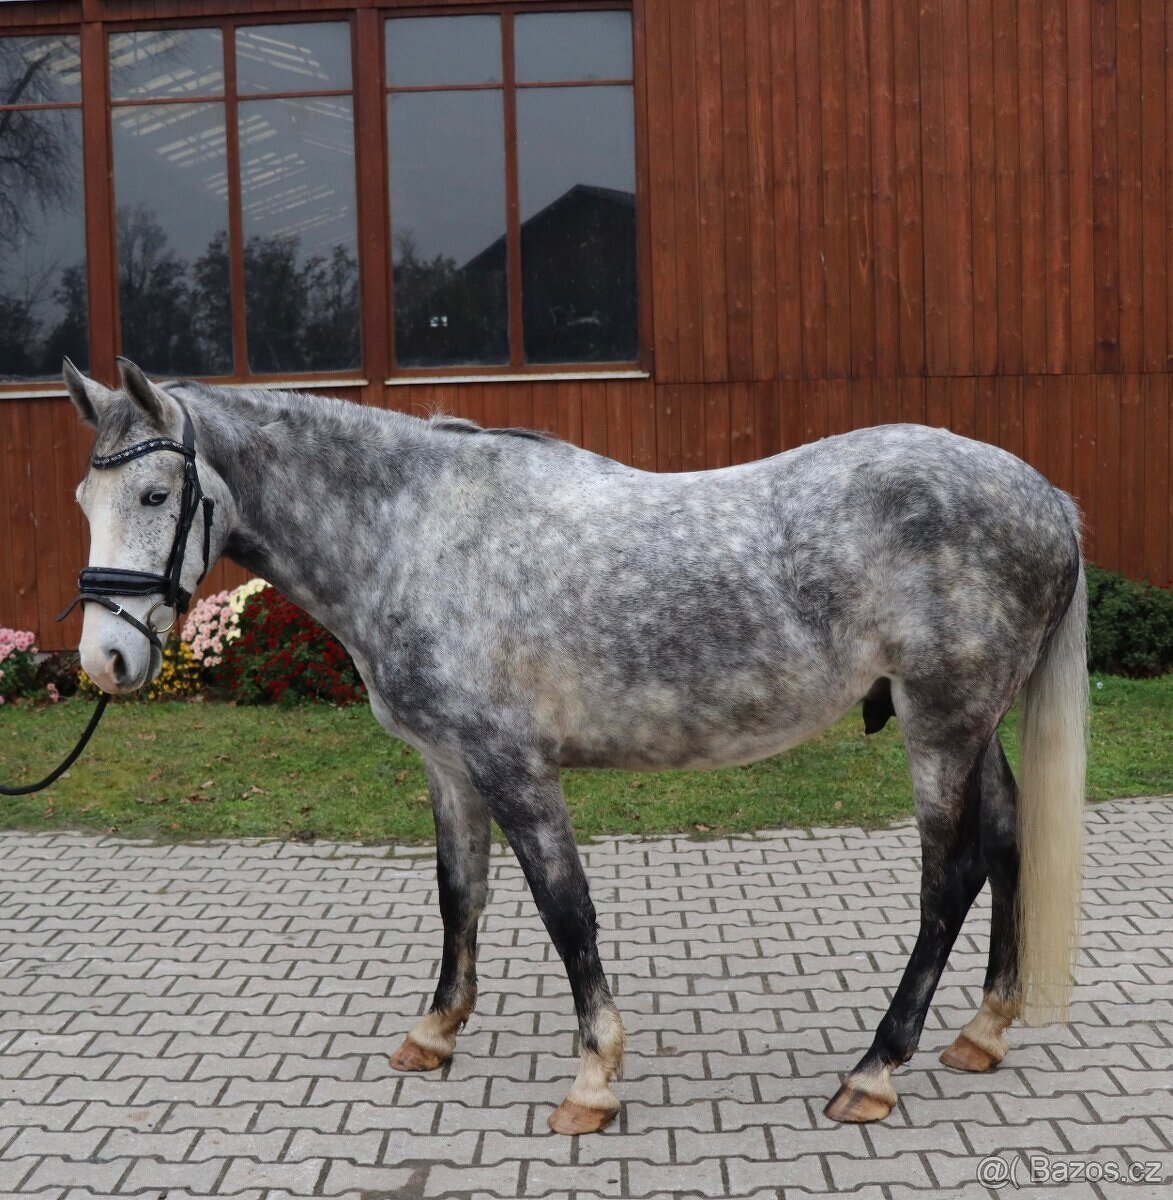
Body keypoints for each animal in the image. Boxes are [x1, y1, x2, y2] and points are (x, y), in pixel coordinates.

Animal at [62, 358, 1087, 1136]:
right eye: (84, 496)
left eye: (154, 492)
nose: (104, 661)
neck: (416, 532)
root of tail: (1046, 497)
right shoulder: (447, 765)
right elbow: (460, 898)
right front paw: (433, 1034)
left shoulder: (513, 767)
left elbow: (567, 913)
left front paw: (593, 1081)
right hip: (970, 725)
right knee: (1006, 839)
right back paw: (982, 1033)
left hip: (940, 723)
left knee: (949, 878)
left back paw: (874, 1070)